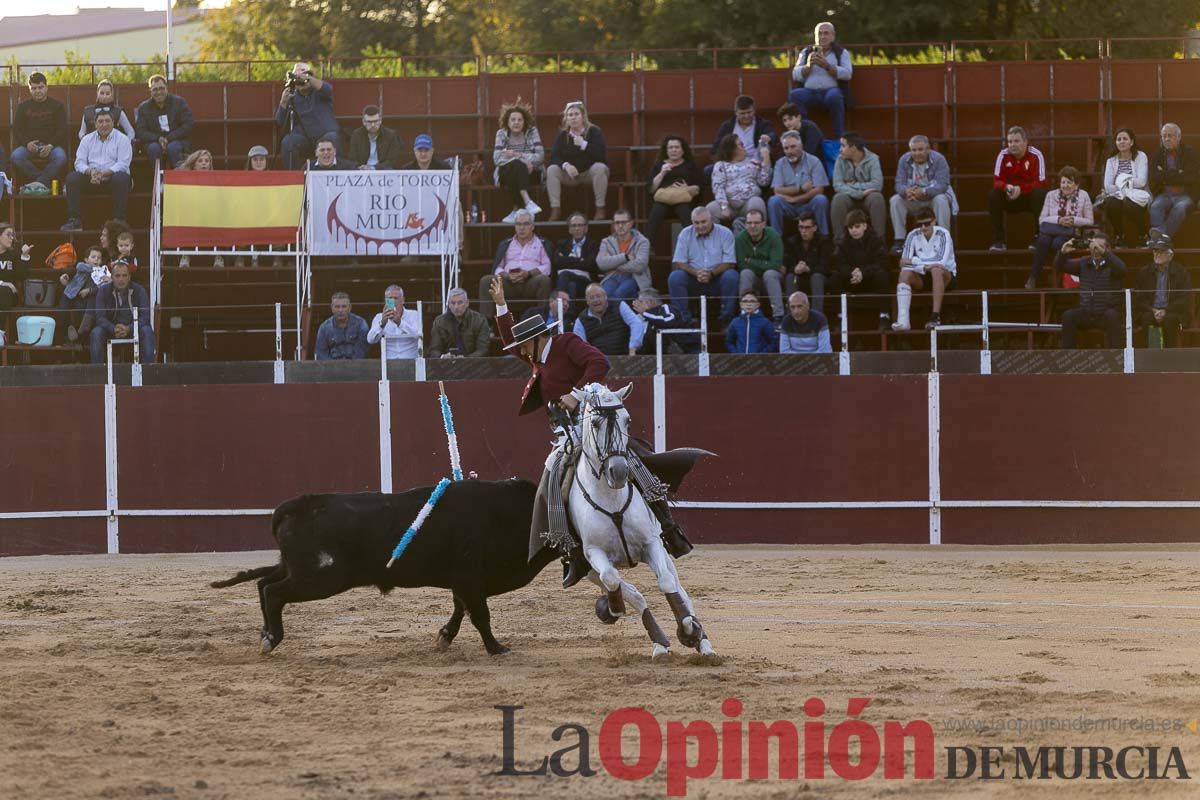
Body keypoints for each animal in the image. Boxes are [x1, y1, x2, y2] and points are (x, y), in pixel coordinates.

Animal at [211, 448, 705, 652]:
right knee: (274, 591)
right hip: (322, 576)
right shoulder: (471, 576)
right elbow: (479, 613)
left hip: (304, 571)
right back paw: (270, 639)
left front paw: (445, 638)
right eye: (657, 503)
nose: (679, 542)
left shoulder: (463, 580)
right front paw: (497, 649)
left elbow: (462, 610)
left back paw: (266, 634)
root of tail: (294, 505)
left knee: (266, 585)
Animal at [564, 381, 710, 657]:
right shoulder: (593, 553)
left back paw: (702, 641)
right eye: (595, 423)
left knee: (681, 591)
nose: (619, 471)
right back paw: (660, 643)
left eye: (627, 420)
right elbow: (613, 581)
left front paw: (688, 630)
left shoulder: (651, 544)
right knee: (633, 593)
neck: (610, 497)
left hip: (664, 549)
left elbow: (667, 583)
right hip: (586, 570)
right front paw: (610, 609)